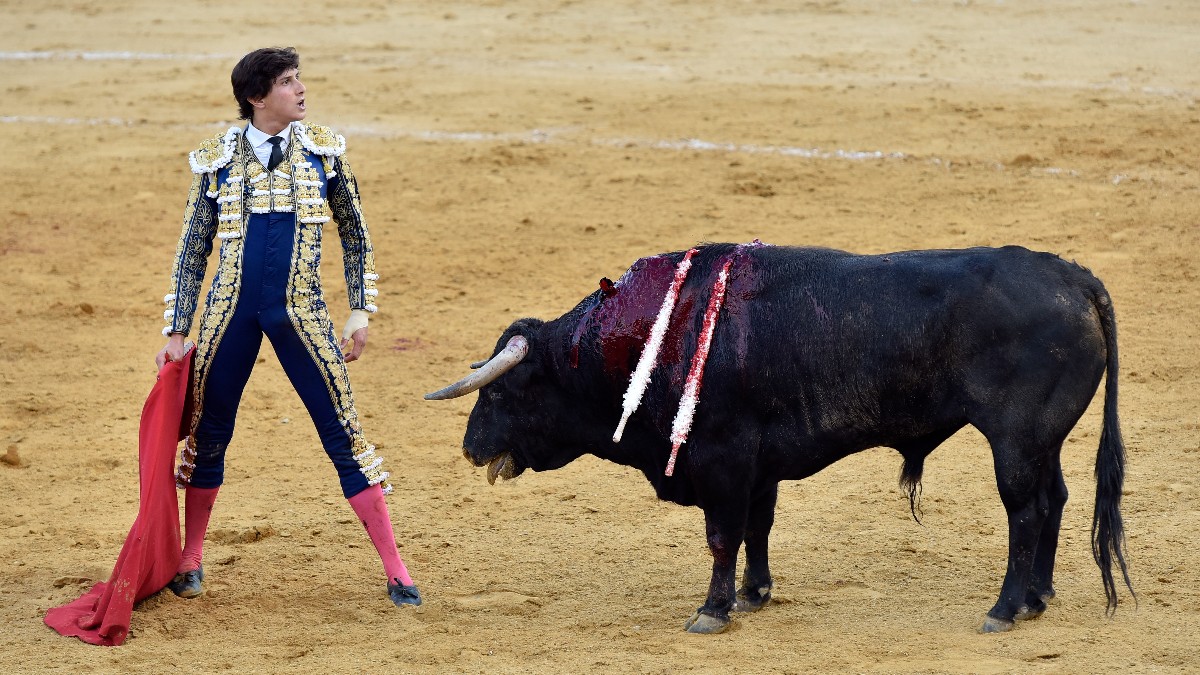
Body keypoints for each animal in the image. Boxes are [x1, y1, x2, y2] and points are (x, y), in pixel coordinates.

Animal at [424, 243, 1132, 634]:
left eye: (501, 392)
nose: (470, 447)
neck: (651, 340)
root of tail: (1074, 278)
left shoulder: (722, 461)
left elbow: (722, 536)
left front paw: (713, 610)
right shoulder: (756, 467)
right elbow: (756, 527)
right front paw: (753, 594)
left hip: (1014, 439)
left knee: (1024, 511)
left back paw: (1006, 608)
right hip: (1043, 440)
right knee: (1056, 500)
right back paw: (1038, 597)